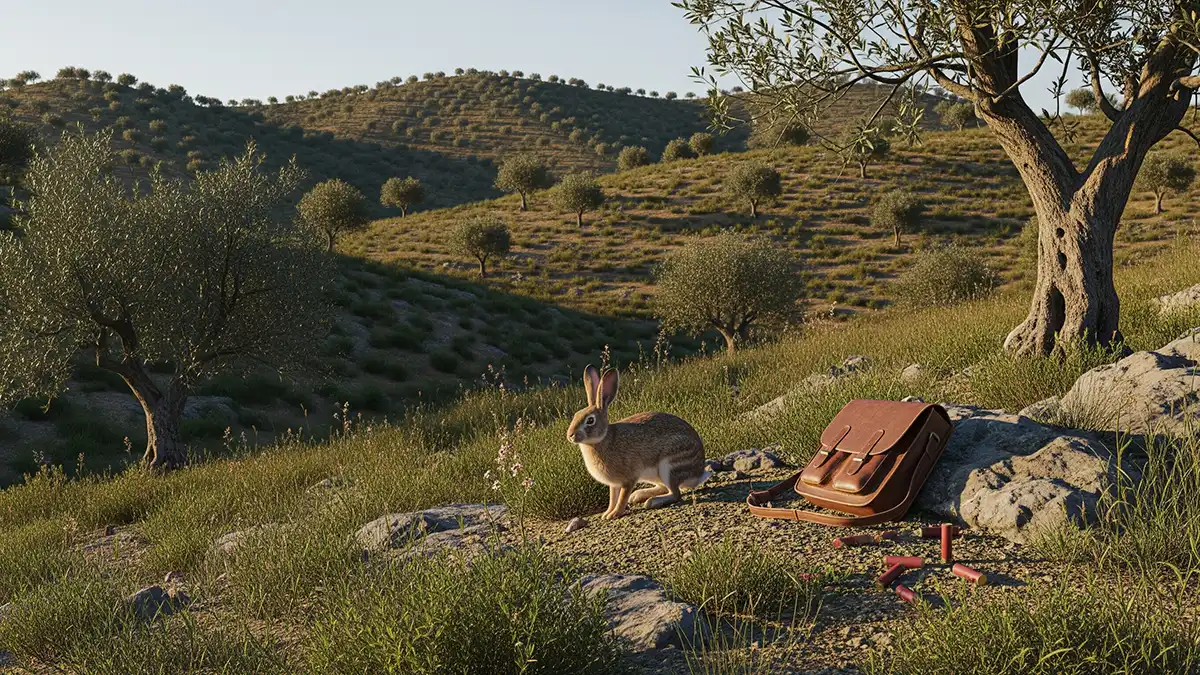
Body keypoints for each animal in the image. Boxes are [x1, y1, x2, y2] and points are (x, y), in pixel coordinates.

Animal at [566, 365, 711, 519]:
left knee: (675, 494)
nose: (570, 435)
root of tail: (697, 473)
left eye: (590, 420)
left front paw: (614, 514)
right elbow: (612, 498)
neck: (603, 438)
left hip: (670, 465)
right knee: (663, 488)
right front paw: (606, 514)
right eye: (575, 415)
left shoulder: (629, 479)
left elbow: (622, 498)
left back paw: (652, 502)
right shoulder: (614, 484)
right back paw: (638, 495)